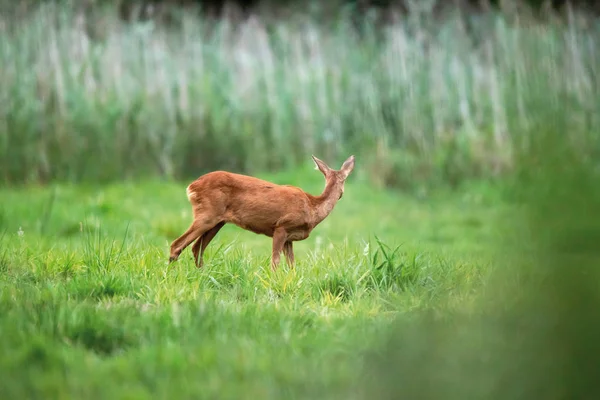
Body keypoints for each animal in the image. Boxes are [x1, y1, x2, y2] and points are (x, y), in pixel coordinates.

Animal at [168, 155, 356, 270]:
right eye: (345, 180)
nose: (342, 194)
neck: (311, 207)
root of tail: (192, 186)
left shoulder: (289, 238)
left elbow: (292, 265)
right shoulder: (281, 227)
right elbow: (275, 261)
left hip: (217, 221)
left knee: (196, 248)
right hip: (207, 215)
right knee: (177, 245)